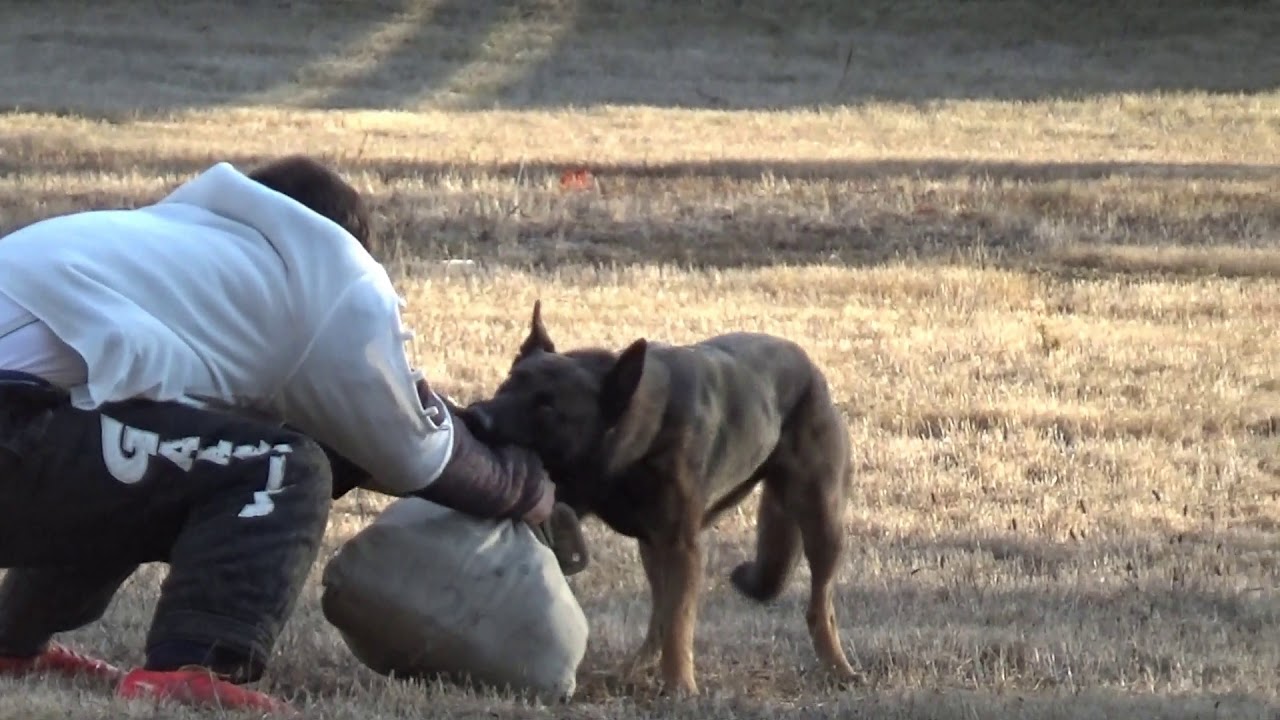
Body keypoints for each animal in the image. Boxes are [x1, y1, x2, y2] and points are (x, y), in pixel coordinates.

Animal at [460, 301, 859, 696]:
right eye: (507, 384)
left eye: (547, 408)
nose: (475, 418)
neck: (635, 436)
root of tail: (809, 368)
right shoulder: (653, 540)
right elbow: (668, 616)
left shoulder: (683, 547)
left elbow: (679, 620)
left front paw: (681, 686)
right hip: (654, 548)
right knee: (659, 615)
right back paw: (636, 667)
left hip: (822, 524)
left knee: (821, 607)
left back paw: (839, 667)